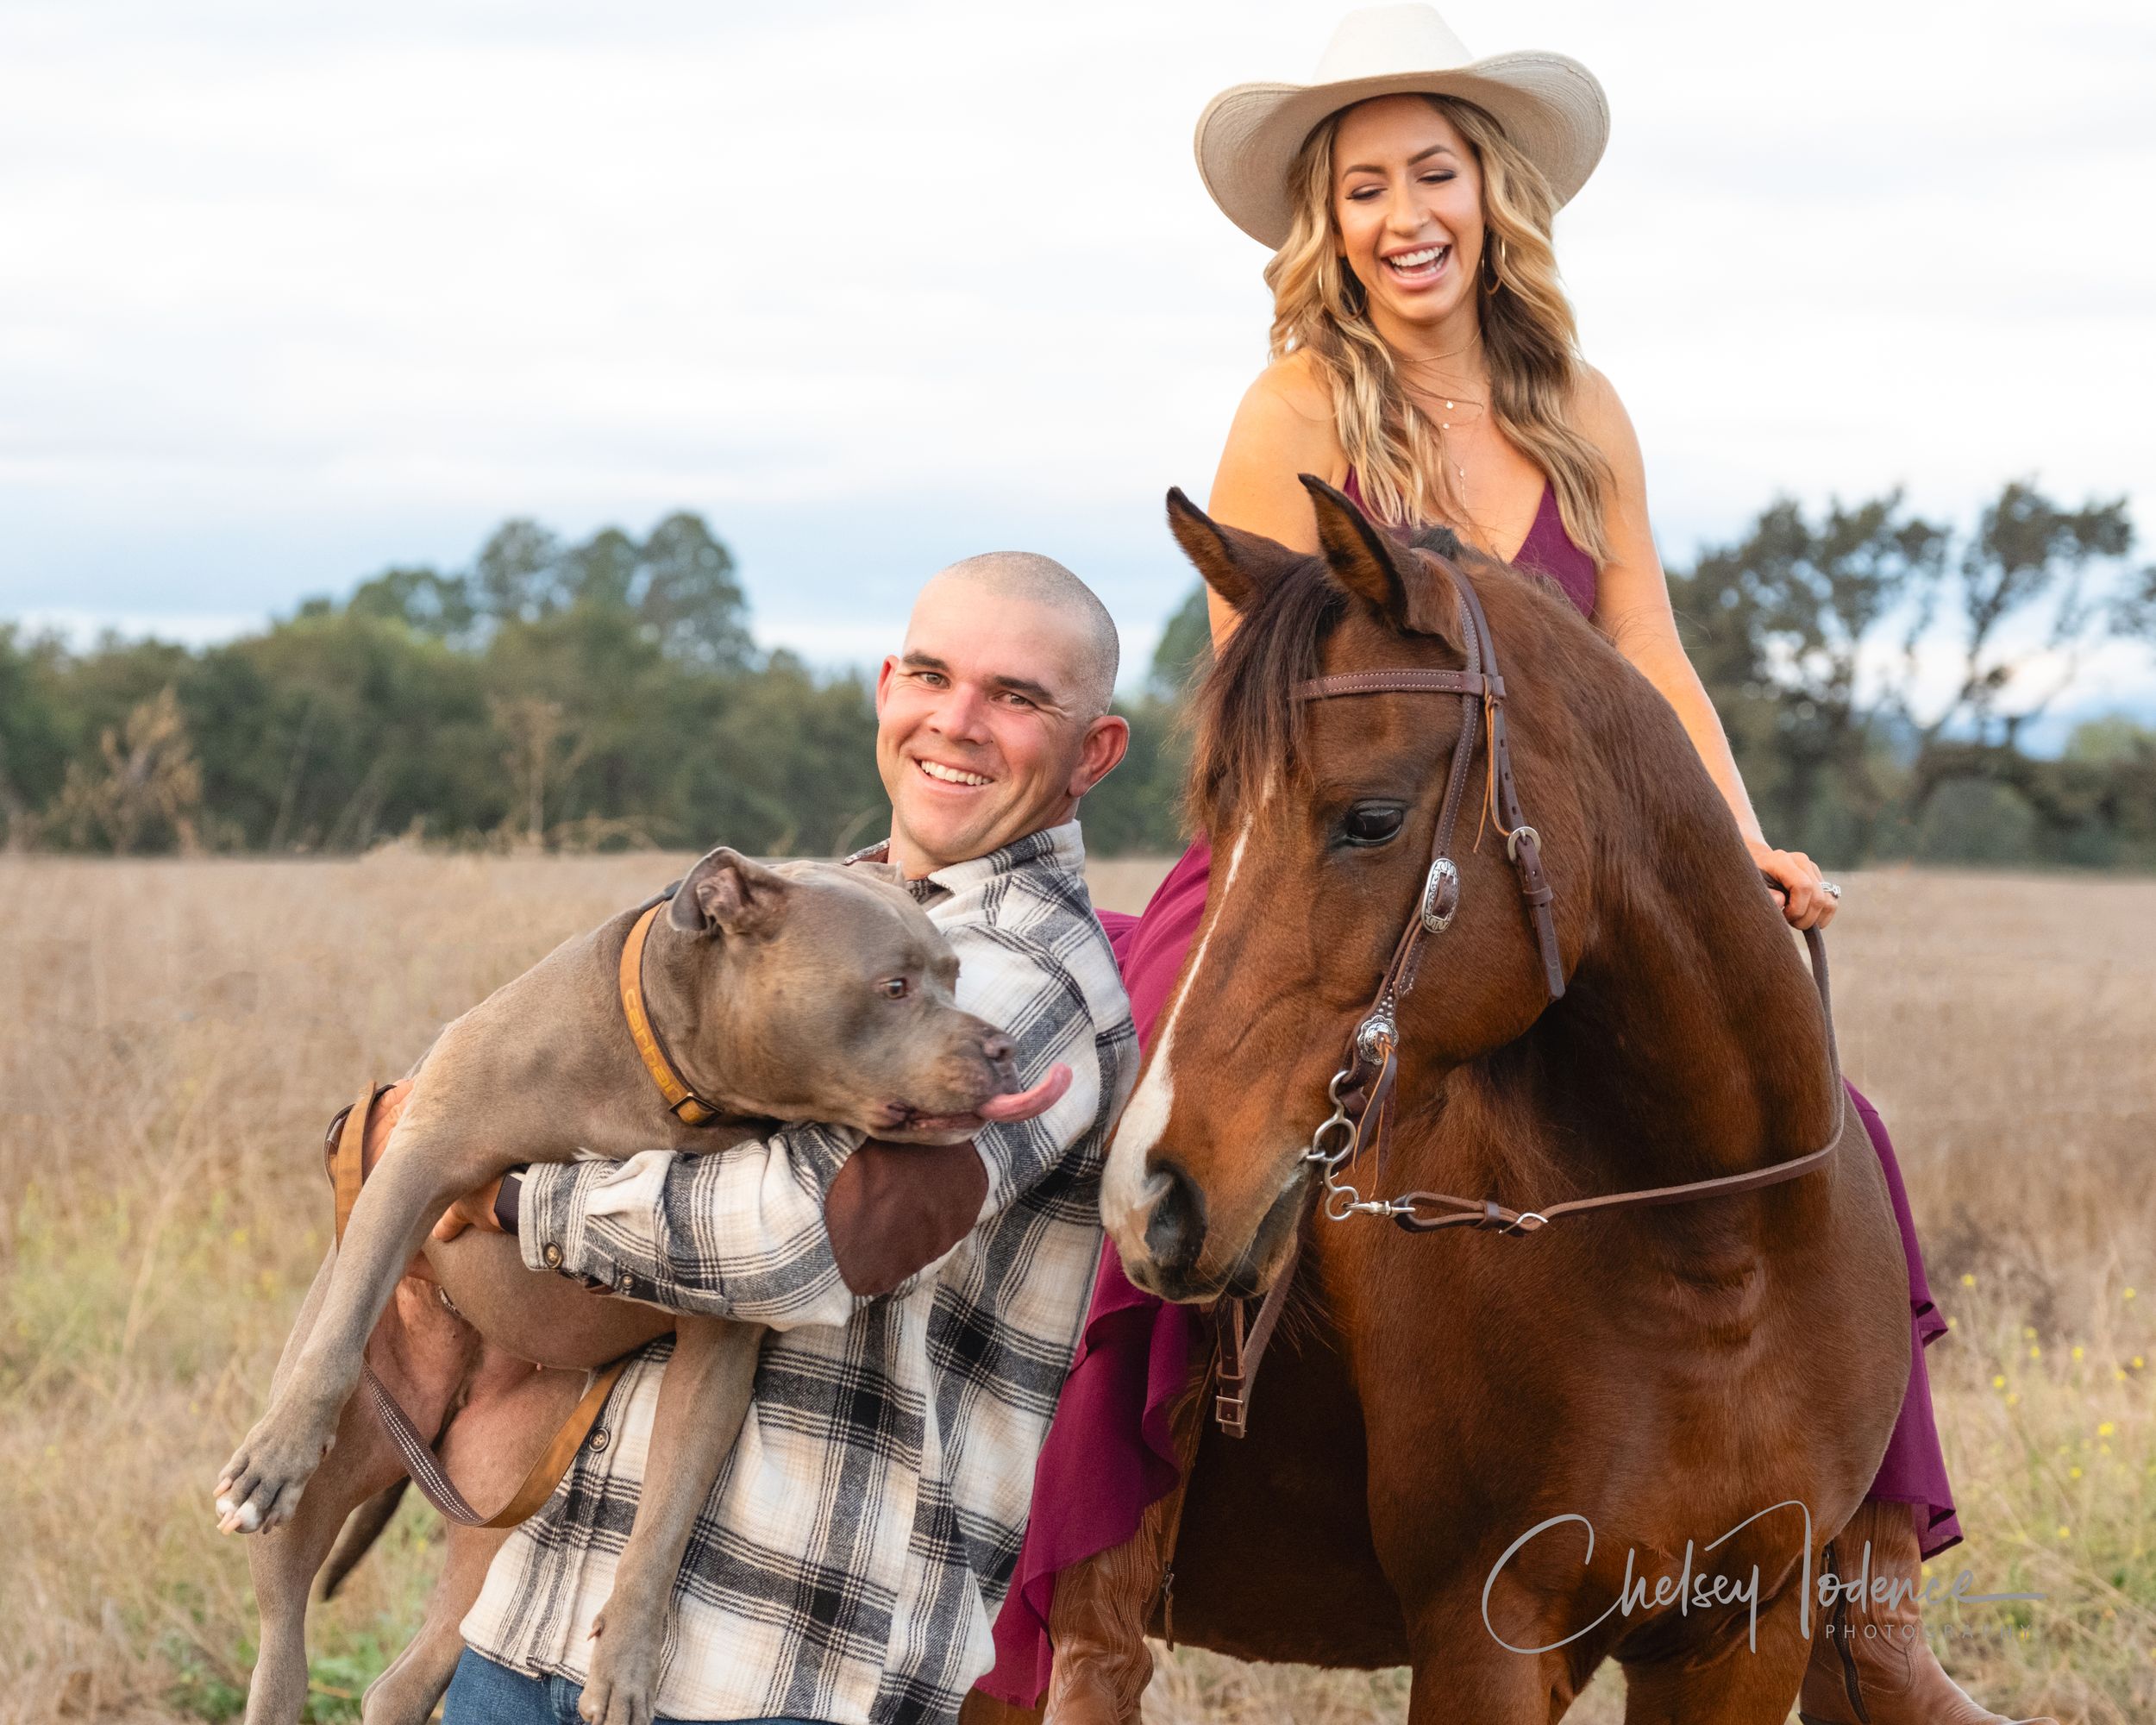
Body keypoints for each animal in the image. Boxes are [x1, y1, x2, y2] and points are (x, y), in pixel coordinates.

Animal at [1095, 479, 1906, 1716]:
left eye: (1372, 819)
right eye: (1216, 819)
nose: (1154, 1196)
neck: (1720, 1259)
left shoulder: (1746, 1631)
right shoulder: (1488, 1637)